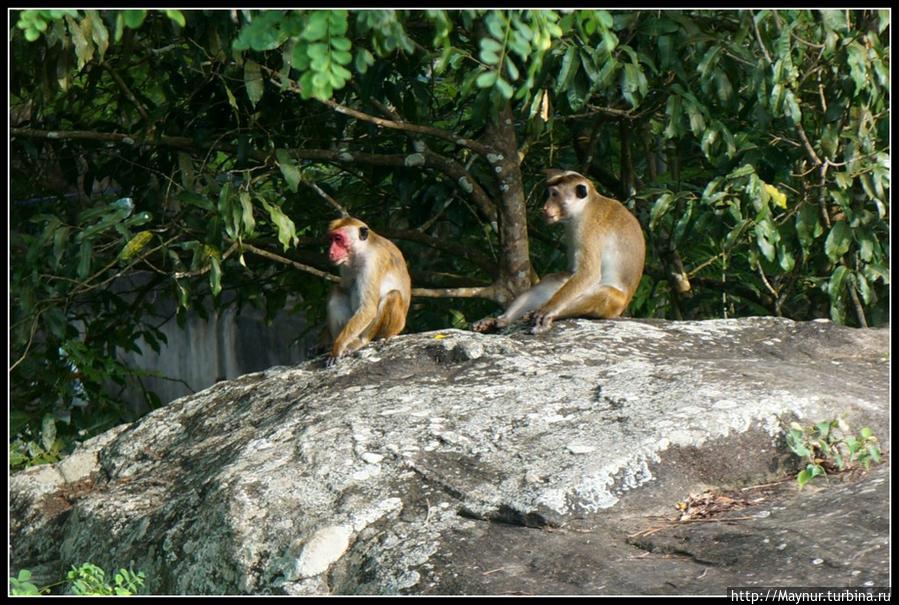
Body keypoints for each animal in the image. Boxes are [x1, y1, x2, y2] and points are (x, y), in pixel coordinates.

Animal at [324, 218, 412, 368]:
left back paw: (362, 341)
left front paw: (338, 346)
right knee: (338, 292)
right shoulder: (345, 265)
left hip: (395, 326)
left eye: (338, 239)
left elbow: (368, 308)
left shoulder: (371, 262)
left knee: (393, 295)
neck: (362, 249)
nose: (331, 252)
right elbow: (344, 289)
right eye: (331, 239)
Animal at [474, 170, 644, 336]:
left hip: (613, 305)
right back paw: (502, 320)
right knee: (554, 280)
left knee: (605, 293)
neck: (585, 206)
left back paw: (548, 314)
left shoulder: (588, 228)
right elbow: (571, 272)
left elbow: (588, 273)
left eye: (555, 194)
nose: (545, 207)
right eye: (550, 194)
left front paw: (547, 310)